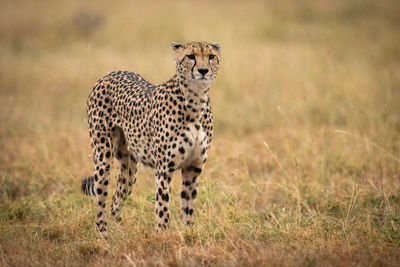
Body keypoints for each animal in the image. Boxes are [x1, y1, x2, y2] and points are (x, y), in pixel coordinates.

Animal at [81, 40, 219, 238]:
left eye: (211, 56)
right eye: (191, 56)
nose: (203, 70)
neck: (195, 100)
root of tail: (109, 74)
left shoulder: (193, 169)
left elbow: (188, 207)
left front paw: (188, 233)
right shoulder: (164, 170)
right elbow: (162, 209)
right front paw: (161, 237)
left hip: (129, 170)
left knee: (116, 198)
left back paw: (117, 230)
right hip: (103, 155)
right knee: (102, 197)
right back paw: (104, 234)